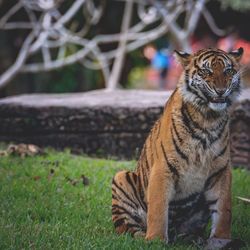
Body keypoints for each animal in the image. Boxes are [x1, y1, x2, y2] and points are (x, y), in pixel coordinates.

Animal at [111, 47, 244, 248]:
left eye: (228, 71)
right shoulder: (163, 169)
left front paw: (221, 240)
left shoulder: (221, 170)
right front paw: (155, 241)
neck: (208, 118)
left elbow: (223, 209)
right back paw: (142, 237)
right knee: (125, 228)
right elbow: (158, 209)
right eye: (206, 71)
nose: (221, 91)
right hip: (121, 177)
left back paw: (193, 239)